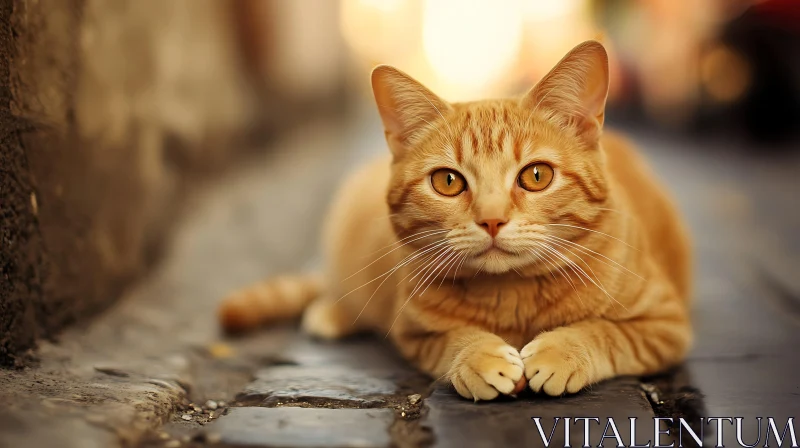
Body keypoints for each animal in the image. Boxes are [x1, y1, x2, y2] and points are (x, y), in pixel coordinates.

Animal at [220, 41, 692, 400]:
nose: (492, 220)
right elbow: (451, 340)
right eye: (448, 181)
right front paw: (478, 357)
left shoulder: (666, 324)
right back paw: (332, 313)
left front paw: (561, 352)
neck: (513, 296)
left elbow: (606, 333)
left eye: (536, 176)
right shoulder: (413, 334)